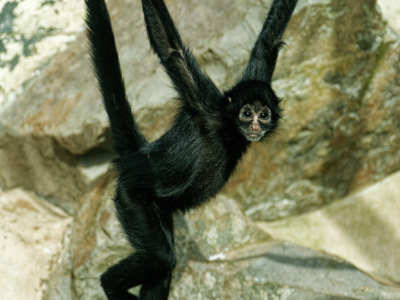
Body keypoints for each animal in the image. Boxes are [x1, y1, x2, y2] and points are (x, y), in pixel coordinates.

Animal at [85, 0, 296, 300]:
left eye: (263, 114)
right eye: (247, 113)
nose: (255, 124)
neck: (228, 131)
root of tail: (137, 157)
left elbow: (268, 42)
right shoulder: (205, 105)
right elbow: (170, 50)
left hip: (158, 207)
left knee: (162, 266)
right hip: (131, 197)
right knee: (161, 258)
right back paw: (109, 283)